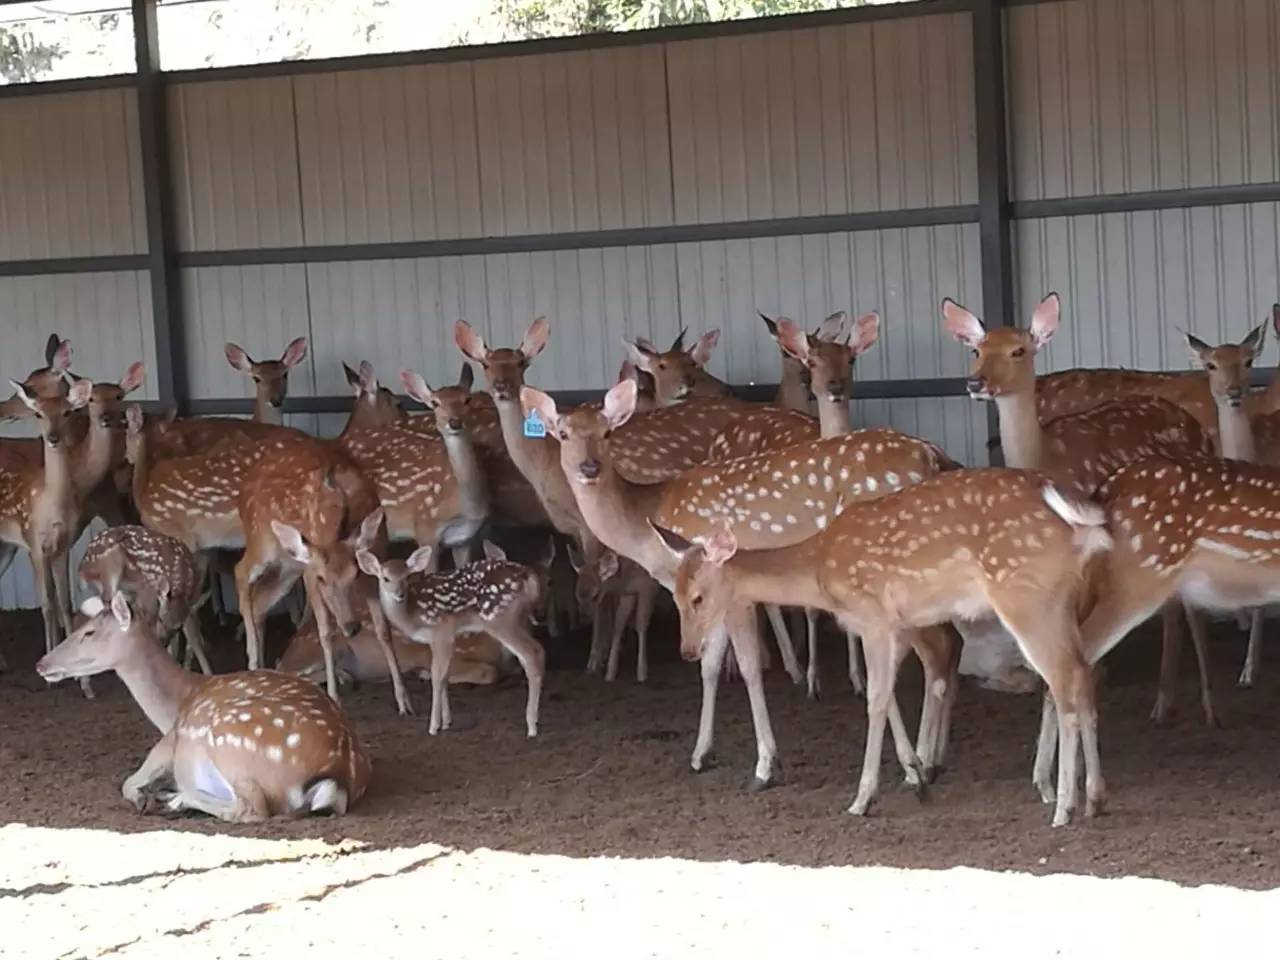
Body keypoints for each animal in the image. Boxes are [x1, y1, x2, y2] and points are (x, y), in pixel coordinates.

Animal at [35, 593, 373, 829]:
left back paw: (174, 800)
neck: (178, 702)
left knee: (252, 809)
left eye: (89, 632)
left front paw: (147, 797)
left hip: (228, 740)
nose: (42, 664)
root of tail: (336, 775)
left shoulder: (168, 744)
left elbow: (128, 783)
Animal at [358, 545, 547, 742]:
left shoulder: (442, 630)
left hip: (499, 618)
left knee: (530, 654)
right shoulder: (437, 639)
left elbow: (437, 675)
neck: (412, 615)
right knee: (538, 650)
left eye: (406, 577)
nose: (399, 595)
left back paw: (531, 726)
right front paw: (446, 722)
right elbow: (444, 675)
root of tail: (527, 574)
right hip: (517, 619)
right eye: (385, 578)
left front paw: (433, 726)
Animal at [947, 293, 1223, 727]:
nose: (977, 383)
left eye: (1018, 350)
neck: (1048, 457)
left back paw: (1207, 706)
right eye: (977, 349)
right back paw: (1162, 703)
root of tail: (1198, 429)